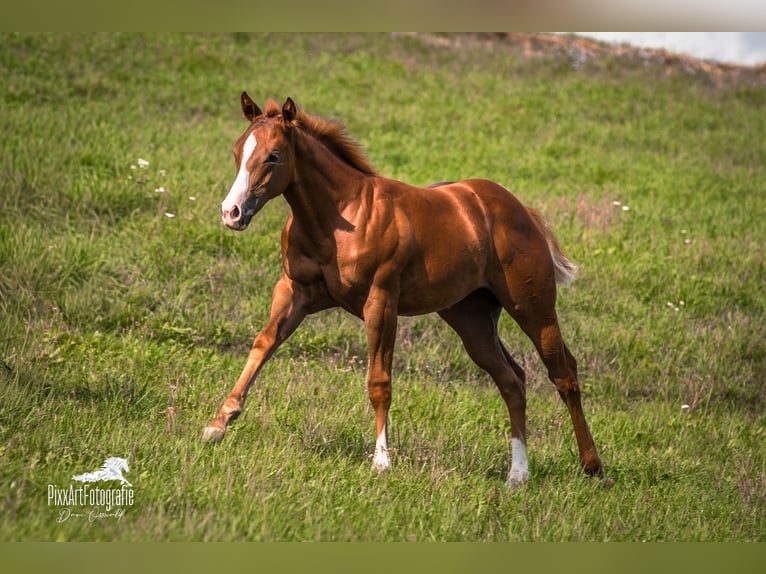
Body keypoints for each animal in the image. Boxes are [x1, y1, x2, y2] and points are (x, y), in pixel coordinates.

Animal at [203, 93, 603, 486]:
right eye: (238, 151)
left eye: (274, 155)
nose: (232, 212)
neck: (339, 217)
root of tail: (522, 211)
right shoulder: (293, 293)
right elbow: (262, 345)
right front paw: (217, 425)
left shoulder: (380, 301)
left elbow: (379, 381)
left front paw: (382, 460)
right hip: (471, 319)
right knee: (513, 380)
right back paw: (518, 474)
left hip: (532, 307)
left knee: (564, 373)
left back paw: (593, 467)